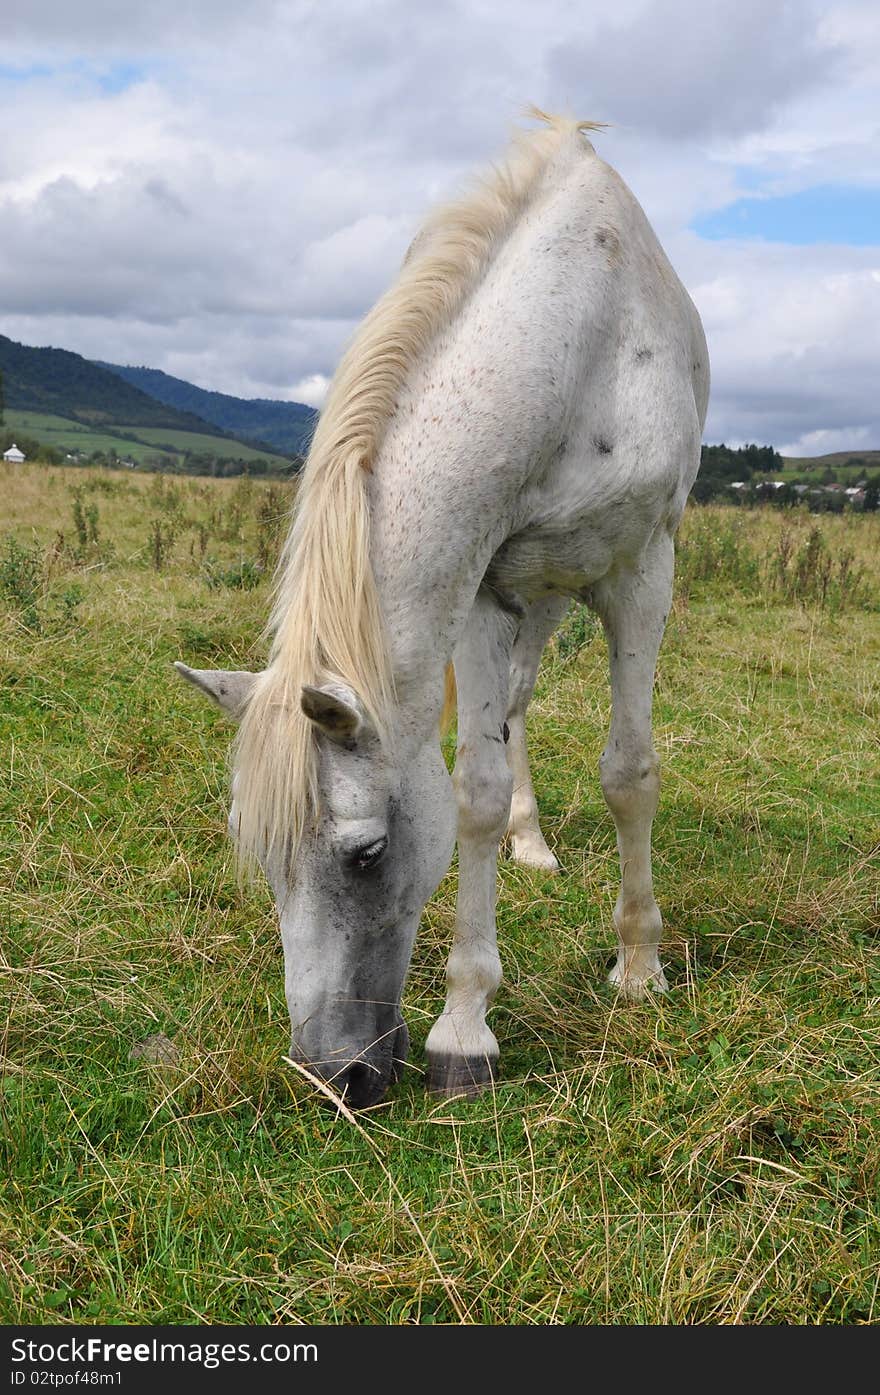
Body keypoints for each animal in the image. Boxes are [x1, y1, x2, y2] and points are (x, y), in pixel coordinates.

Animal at [175, 108, 714, 1110]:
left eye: (366, 854)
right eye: (258, 855)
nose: (331, 1075)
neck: (580, 346)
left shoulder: (641, 573)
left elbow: (630, 773)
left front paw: (638, 966)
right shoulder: (485, 586)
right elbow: (476, 791)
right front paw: (467, 1027)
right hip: (528, 600)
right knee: (516, 713)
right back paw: (528, 839)